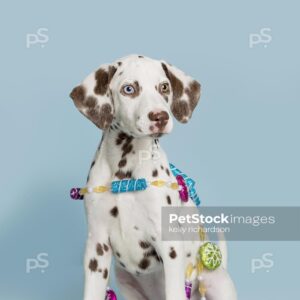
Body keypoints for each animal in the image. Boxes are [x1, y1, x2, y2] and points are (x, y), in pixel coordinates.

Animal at [70, 54, 237, 300]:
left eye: (164, 87)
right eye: (129, 89)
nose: (160, 116)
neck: (125, 173)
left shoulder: (169, 245)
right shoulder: (96, 249)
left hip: (217, 282)